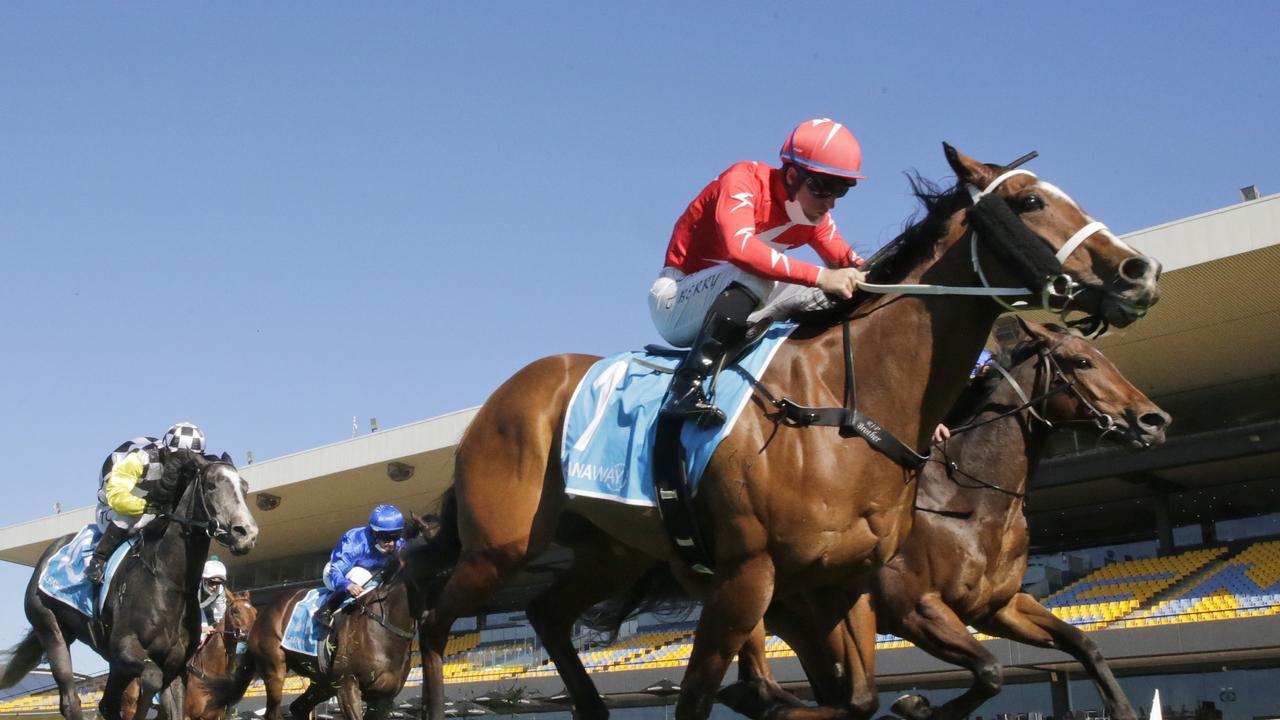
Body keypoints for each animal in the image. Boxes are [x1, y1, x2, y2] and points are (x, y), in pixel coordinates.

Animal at [225, 509, 435, 717]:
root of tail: (262, 614)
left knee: (298, 707)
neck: (386, 623)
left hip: (323, 682)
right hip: (275, 668)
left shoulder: (384, 698)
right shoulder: (347, 684)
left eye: (396, 537)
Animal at [727, 317, 1167, 717]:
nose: (1154, 420)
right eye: (1082, 362)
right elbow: (990, 671)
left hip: (805, 627)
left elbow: (1084, 644)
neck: (969, 504)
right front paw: (916, 706)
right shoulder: (914, 609)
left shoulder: (998, 607)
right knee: (762, 680)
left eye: (1104, 357)